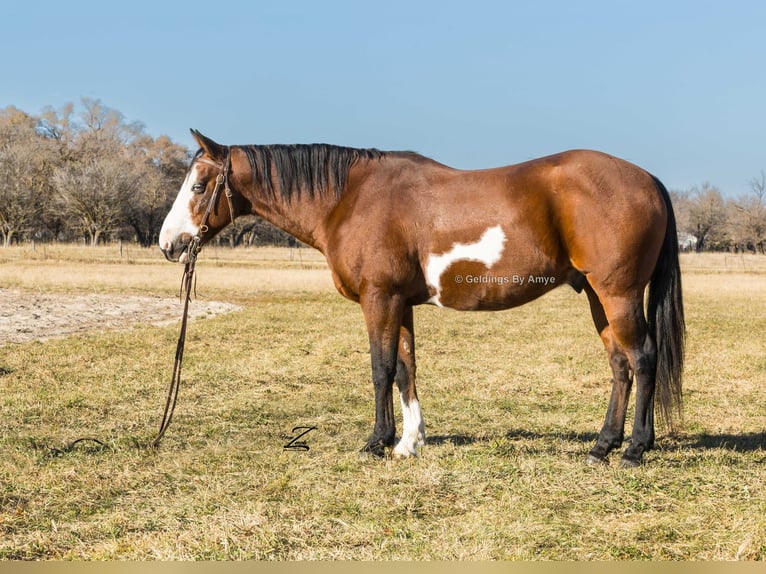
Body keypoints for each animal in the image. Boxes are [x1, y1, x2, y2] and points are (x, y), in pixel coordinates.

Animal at [159, 130, 685, 467]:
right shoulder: (402, 302)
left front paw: (376, 442)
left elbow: (381, 368)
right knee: (620, 366)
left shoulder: (380, 298)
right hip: (598, 296)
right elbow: (406, 368)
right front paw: (409, 442)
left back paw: (634, 449)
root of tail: (650, 180)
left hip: (618, 294)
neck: (350, 197)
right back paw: (602, 446)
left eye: (199, 185)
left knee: (643, 358)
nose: (169, 244)